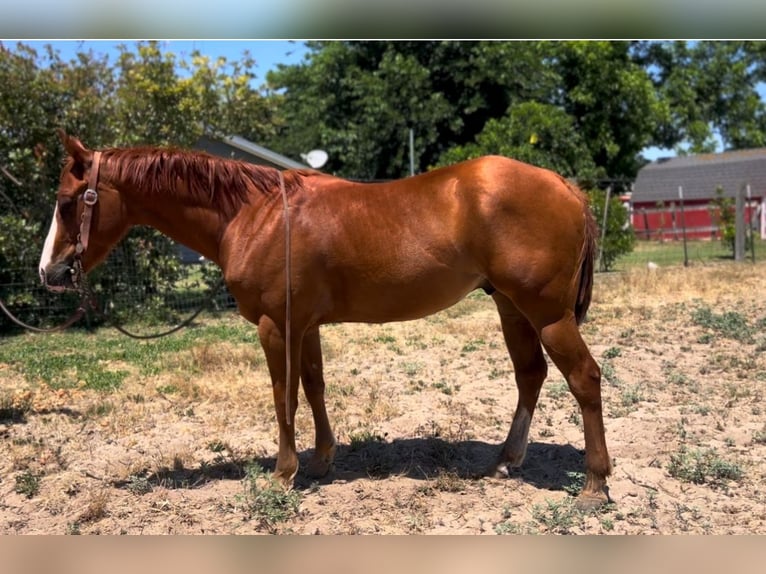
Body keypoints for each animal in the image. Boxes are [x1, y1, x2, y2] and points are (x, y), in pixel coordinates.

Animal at [39, 129, 611, 509]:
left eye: (68, 203)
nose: (50, 272)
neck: (255, 214)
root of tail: (564, 185)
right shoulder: (306, 325)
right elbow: (313, 388)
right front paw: (321, 461)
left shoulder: (275, 326)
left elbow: (283, 397)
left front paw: (283, 473)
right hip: (510, 306)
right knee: (530, 375)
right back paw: (504, 462)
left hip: (546, 313)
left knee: (584, 378)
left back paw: (594, 484)